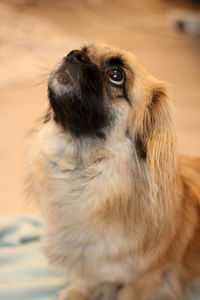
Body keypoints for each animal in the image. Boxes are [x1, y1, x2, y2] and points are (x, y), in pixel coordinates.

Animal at [27, 43, 200, 298]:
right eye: (82, 50)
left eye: (116, 76)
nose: (74, 55)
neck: (83, 171)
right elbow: (88, 280)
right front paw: (77, 292)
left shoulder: (143, 280)